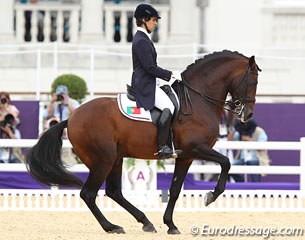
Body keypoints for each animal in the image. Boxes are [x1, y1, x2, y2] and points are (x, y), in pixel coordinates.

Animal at [25, 50, 258, 234]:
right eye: (253, 81)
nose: (247, 114)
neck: (198, 99)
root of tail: (72, 117)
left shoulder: (186, 156)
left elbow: (175, 189)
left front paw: (170, 224)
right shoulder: (196, 148)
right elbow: (226, 162)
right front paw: (211, 196)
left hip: (116, 158)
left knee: (113, 192)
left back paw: (145, 221)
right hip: (103, 159)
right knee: (89, 194)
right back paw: (112, 227)